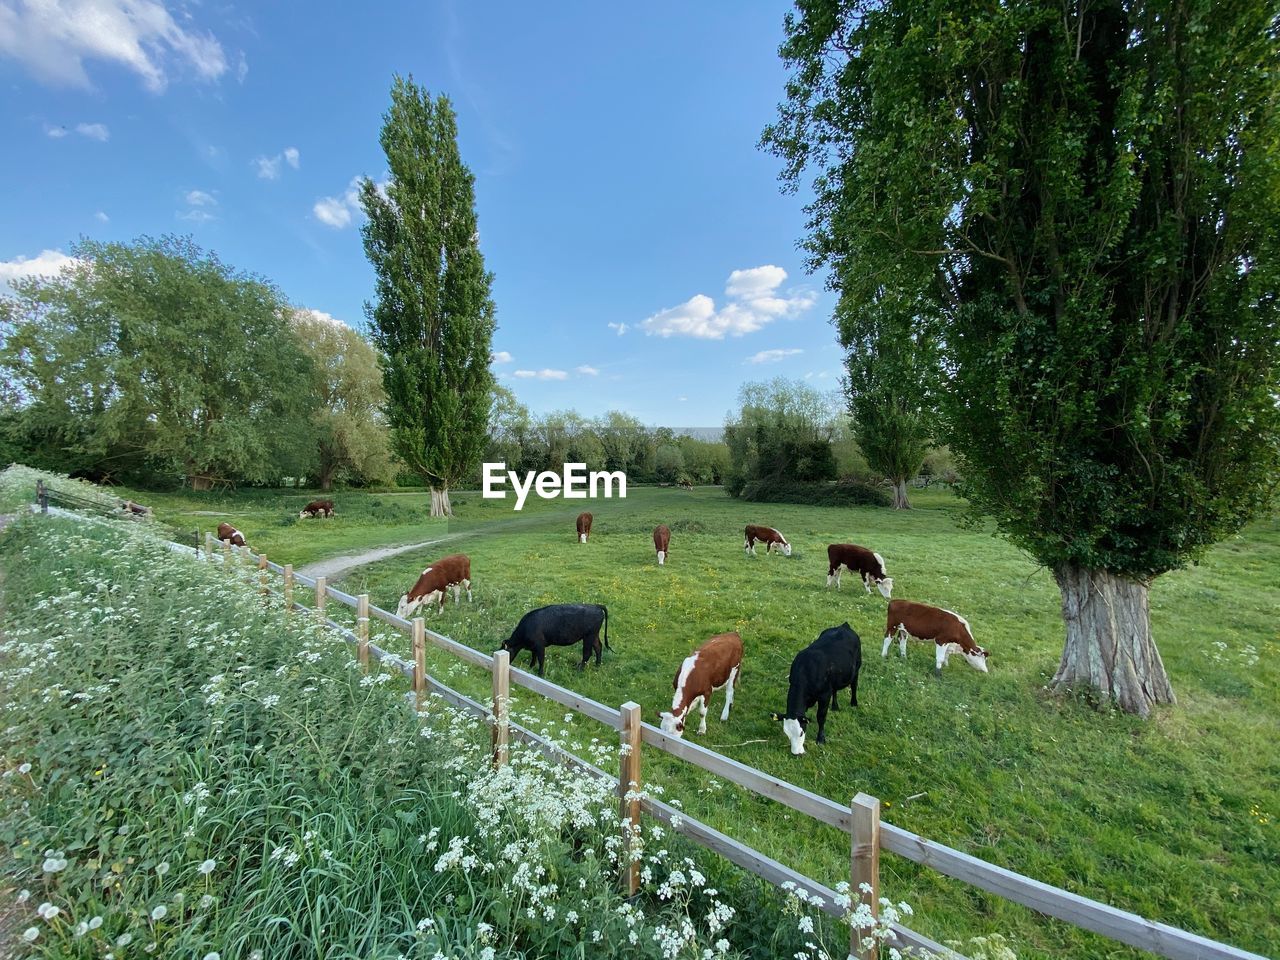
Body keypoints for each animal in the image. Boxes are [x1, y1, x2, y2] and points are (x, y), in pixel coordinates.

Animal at [768, 624, 860, 757]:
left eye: (801, 733)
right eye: (787, 734)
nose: (796, 753)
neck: (806, 669)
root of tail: (844, 625)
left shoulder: (824, 695)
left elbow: (821, 717)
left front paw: (820, 739)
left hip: (857, 668)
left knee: (854, 685)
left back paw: (854, 703)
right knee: (835, 690)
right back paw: (835, 706)